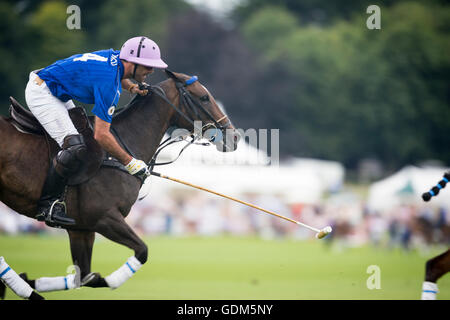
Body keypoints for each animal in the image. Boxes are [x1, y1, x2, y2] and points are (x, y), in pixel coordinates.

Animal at [0, 70, 241, 298]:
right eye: (203, 97)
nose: (235, 137)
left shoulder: (81, 228)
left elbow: (85, 277)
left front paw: (28, 281)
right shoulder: (104, 218)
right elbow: (141, 252)